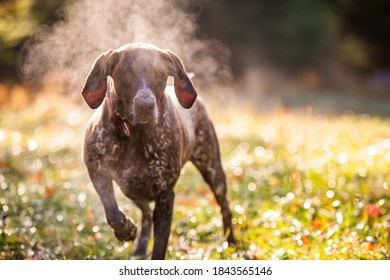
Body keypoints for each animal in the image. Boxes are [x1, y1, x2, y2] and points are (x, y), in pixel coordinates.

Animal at [80, 42, 236, 260]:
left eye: (158, 73)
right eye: (125, 72)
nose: (145, 105)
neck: (133, 134)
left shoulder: (165, 196)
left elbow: (160, 245)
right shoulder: (97, 171)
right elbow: (112, 213)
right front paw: (125, 231)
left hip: (213, 172)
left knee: (225, 207)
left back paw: (232, 241)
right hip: (132, 189)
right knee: (145, 215)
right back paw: (139, 246)